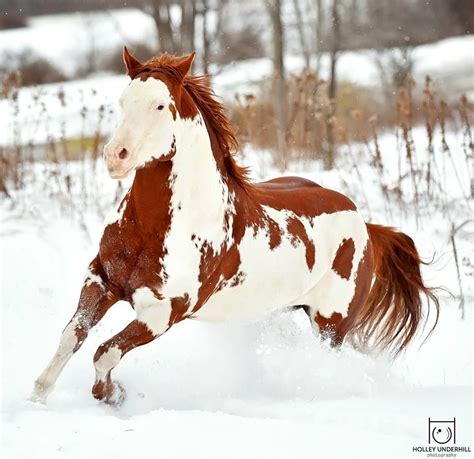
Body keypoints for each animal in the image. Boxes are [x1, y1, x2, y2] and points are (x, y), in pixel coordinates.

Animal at [29, 47, 438, 406]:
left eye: (160, 105)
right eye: (123, 101)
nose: (116, 156)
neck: (153, 229)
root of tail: (364, 224)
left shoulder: (163, 312)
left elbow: (105, 352)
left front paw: (113, 395)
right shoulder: (100, 280)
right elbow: (72, 336)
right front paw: (37, 398)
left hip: (331, 324)